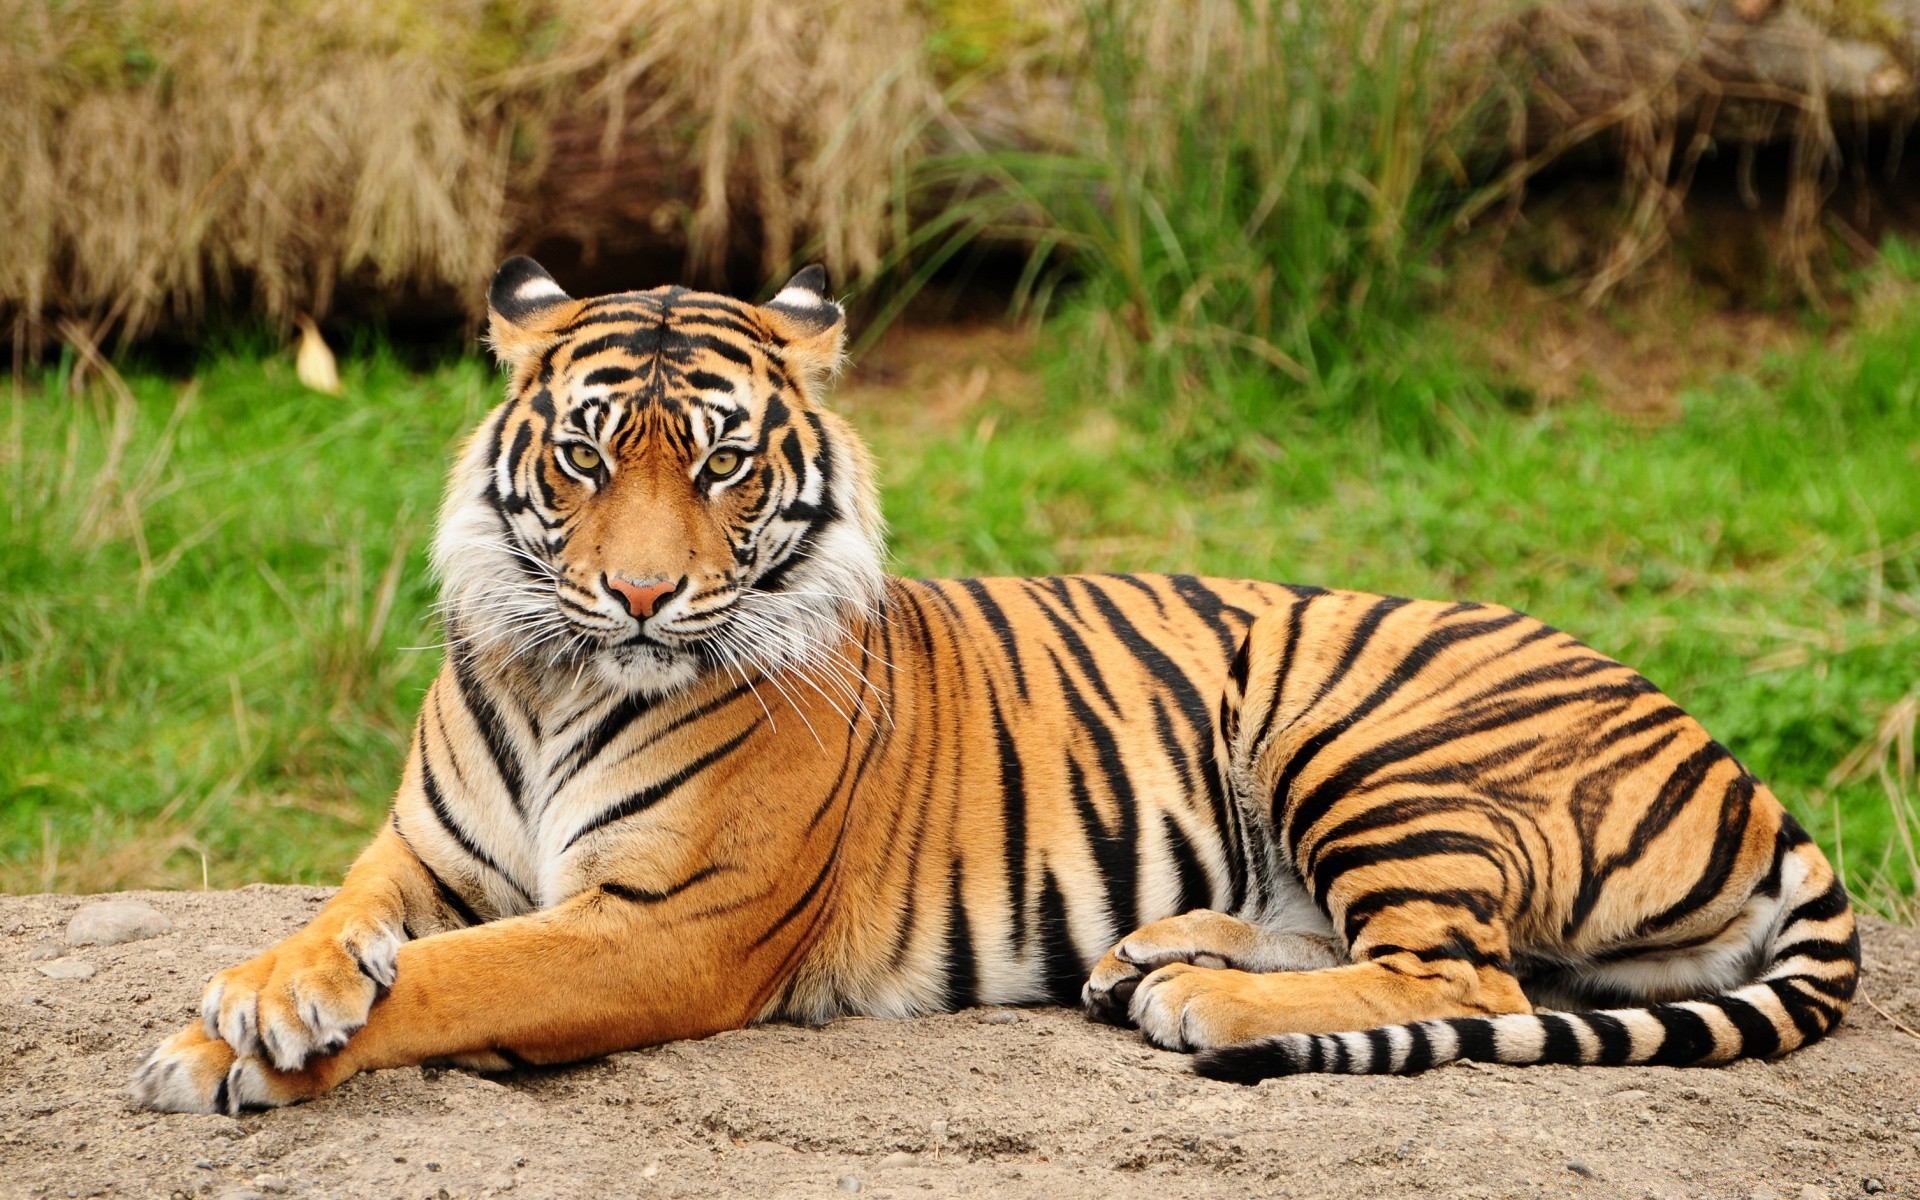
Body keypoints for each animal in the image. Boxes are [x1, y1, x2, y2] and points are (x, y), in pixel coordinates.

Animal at [127, 257, 1850, 1105]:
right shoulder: (420, 854)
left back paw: (1201, 1000)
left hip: (1361, 728)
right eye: (588, 457)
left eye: (724, 465)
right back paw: (1157, 954)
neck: (563, 678)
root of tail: (1744, 770)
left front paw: (224, 1055)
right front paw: (266, 993)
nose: (643, 592)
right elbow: (347, 925)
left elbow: (464, 980)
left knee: (1468, 977)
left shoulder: (667, 927)